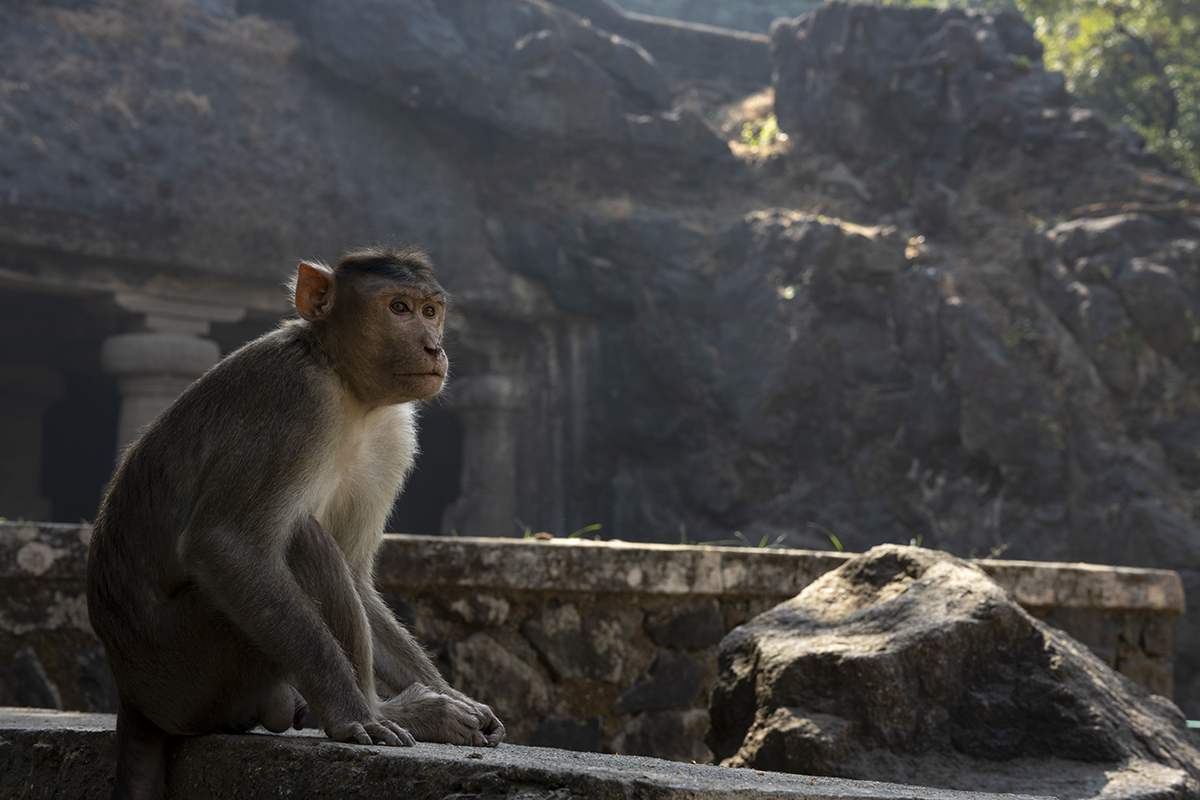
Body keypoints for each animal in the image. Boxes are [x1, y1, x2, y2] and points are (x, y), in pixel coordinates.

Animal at [84, 244, 504, 800]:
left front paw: (452, 694)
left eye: (430, 311)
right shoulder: (295, 399)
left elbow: (356, 574)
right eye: (399, 309)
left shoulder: (393, 434)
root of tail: (131, 695)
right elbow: (227, 546)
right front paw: (354, 714)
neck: (347, 387)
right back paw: (390, 712)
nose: (434, 347)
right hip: (184, 668)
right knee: (302, 540)